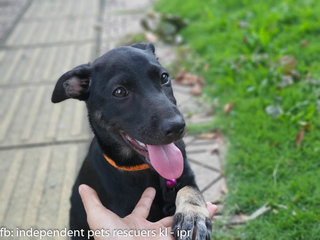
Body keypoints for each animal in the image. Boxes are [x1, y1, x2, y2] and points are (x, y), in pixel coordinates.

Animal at [51, 43, 212, 240]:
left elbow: (190, 191)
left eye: (164, 77)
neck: (139, 167)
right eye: (120, 92)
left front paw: (193, 216)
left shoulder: (186, 175)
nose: (177, 127)